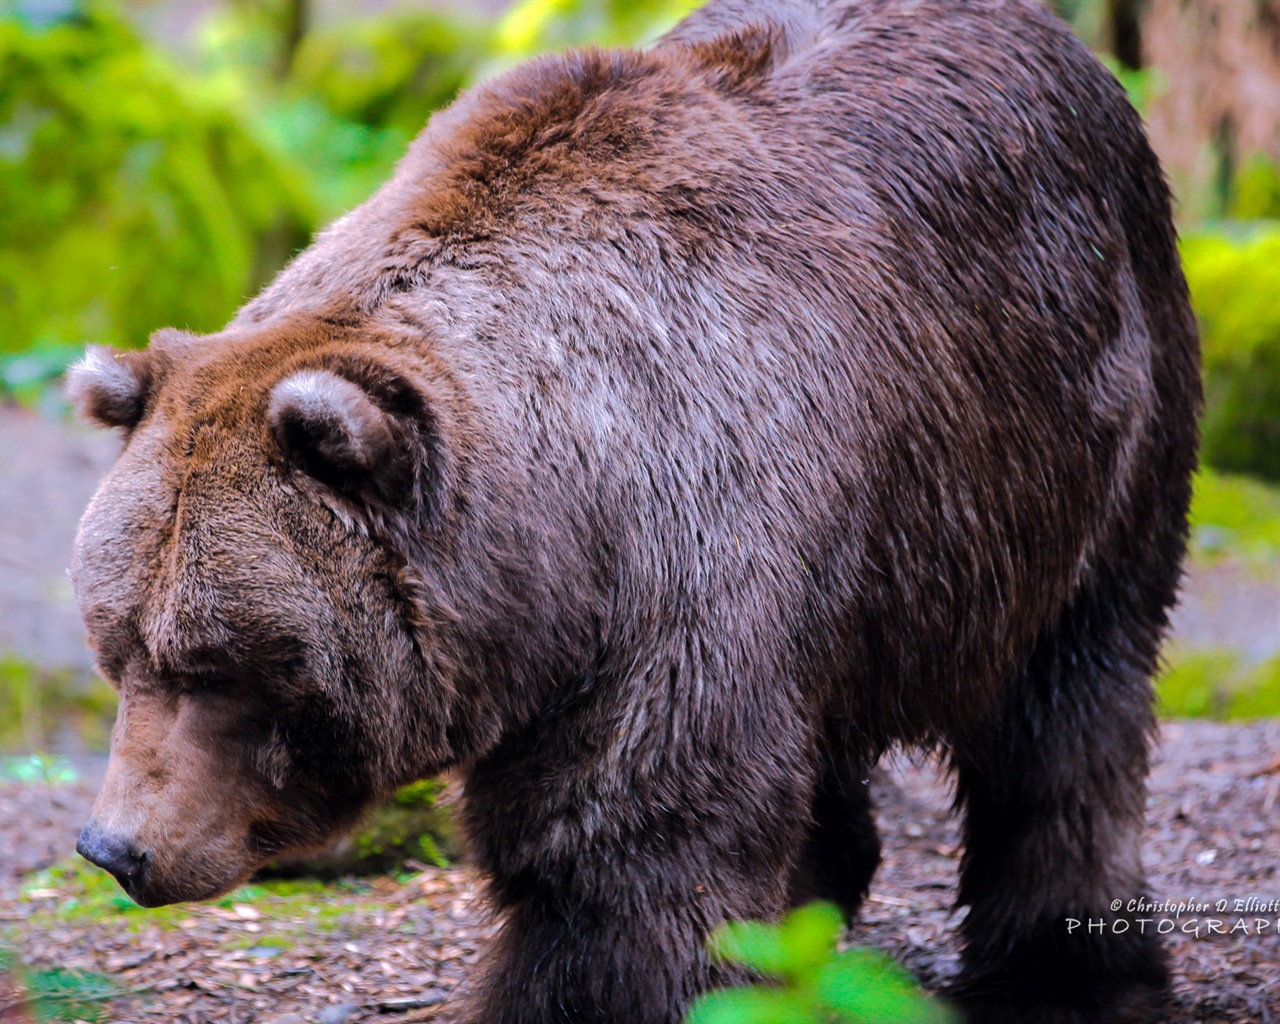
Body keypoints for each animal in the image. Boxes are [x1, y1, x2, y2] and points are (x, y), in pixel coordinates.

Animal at [62, 2, 1198, 1024]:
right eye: (120, 647)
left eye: (219, 662)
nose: (116, 848)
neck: (556, 546)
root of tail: (1056, 37)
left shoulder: (687, 555)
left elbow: (623, 843)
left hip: (1077, 419)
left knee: (1070, 701)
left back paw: (1065, 971)